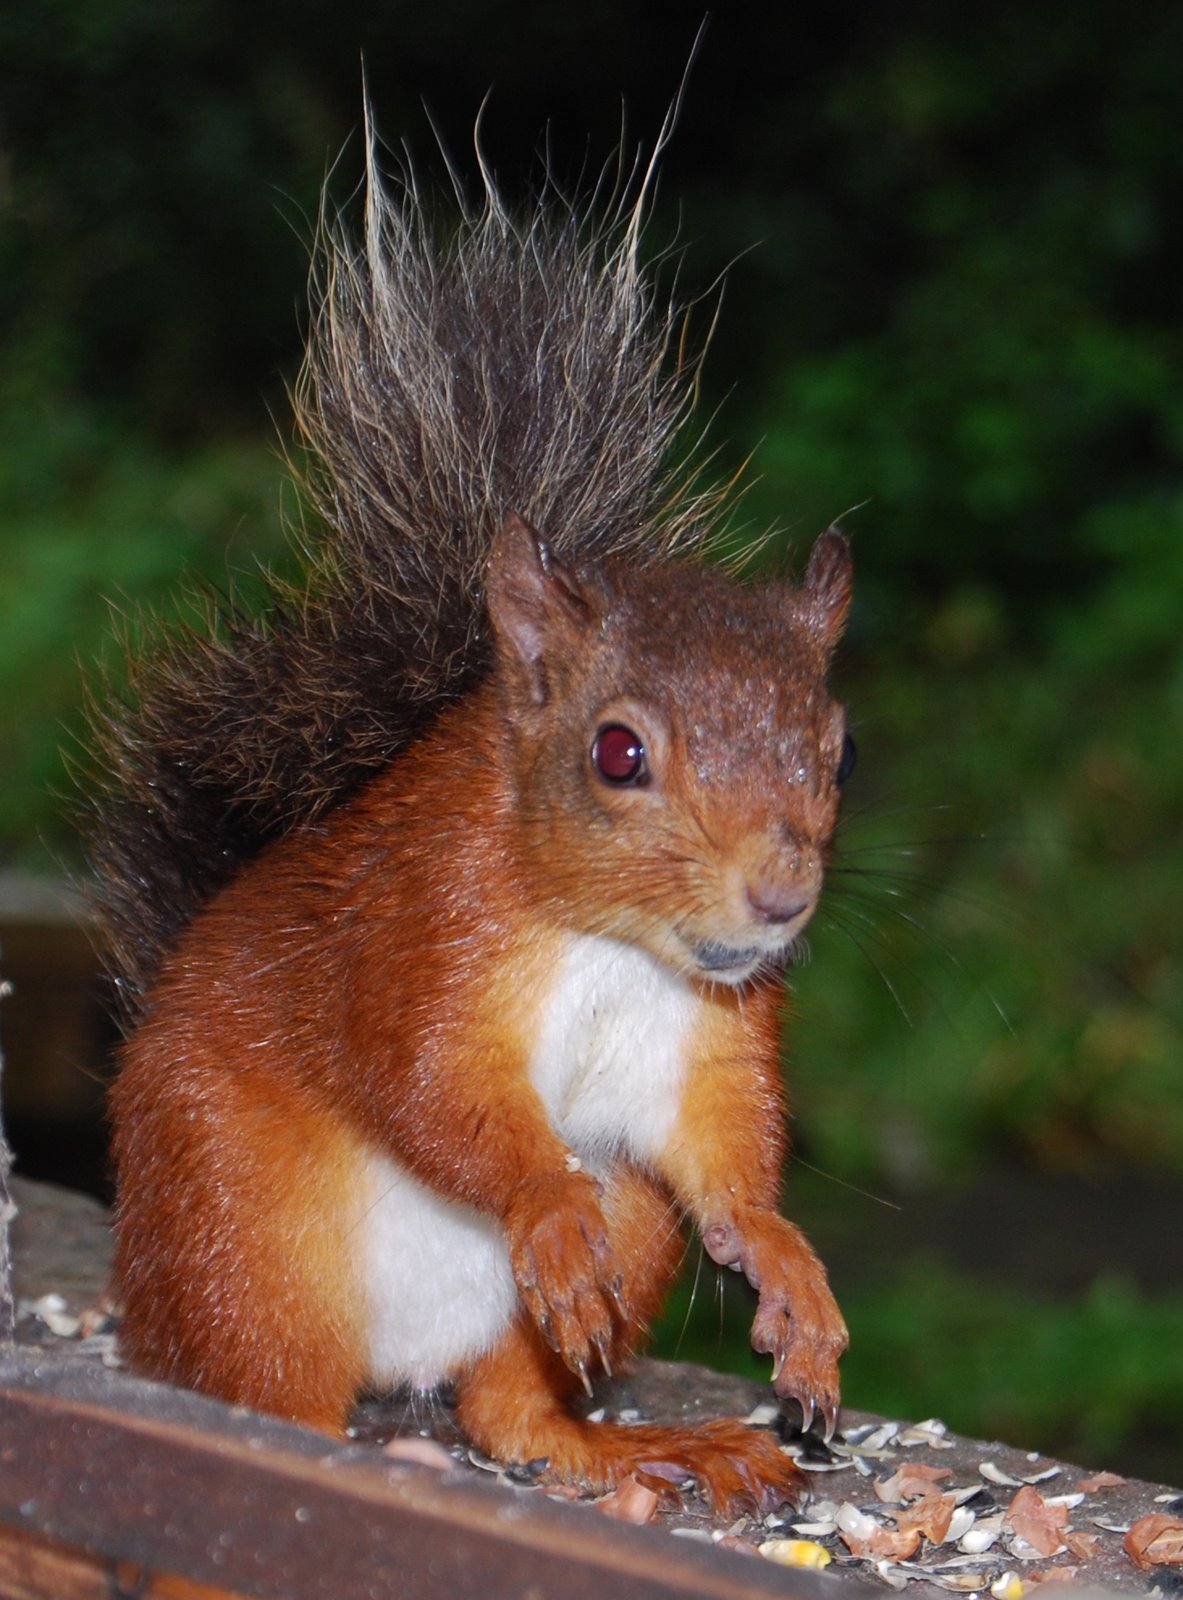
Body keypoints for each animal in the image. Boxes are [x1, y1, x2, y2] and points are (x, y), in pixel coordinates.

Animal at [85, 133, 853, 1516]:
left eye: (840, 752)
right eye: (617, 753)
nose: (778, 899)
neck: (612, 945)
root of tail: (402, 1364)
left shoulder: (712, 1034)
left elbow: (727, 1146)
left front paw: (786, 1268)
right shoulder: (417, 934)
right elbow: (434, 1088)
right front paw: (543, 1204)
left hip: (622, 1230)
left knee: (511, 1406)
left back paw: (631, 1443)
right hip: (239, 1227)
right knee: (261, 1383)